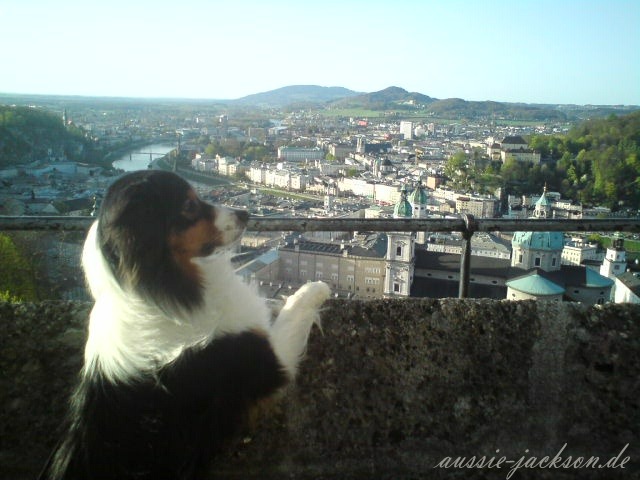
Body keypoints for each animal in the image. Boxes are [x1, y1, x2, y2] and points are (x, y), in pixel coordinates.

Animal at [38, 171, 330, 478]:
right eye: (190, 205)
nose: (245, 214)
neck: (160, 294)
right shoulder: (270, 361)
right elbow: (295, 310)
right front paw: (316, 288)